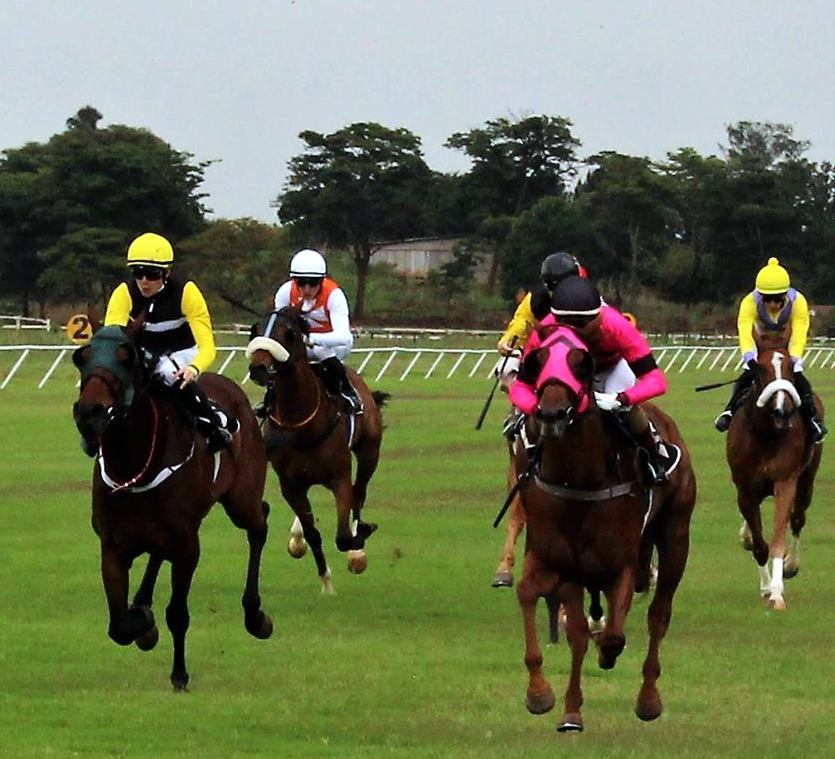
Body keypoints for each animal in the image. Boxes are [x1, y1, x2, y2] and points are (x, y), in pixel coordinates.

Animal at [72, 324, 273, 690]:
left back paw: (255, 614)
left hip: (241, 500)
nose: (89, 413)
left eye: (127, 357)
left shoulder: (187, 545)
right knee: (156, 553)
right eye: (81, 356)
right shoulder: (112, 546)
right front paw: (142, 620)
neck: (135, 463)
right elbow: (119, 626)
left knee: (259, 523)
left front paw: (179, 672)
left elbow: (177, 613)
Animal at [246, 306, 389, 592]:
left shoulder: (339, 477)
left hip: (369, 453)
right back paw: (297, 536)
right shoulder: (290, 484)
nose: (258, 368)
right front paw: (325, 579)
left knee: (360, 492)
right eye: (256, 330)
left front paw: (359, 544)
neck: (301, 422)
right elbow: (313, 533)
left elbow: (344, 535)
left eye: (288, 333)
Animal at [511, 326, 696, 732]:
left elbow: (614, 635)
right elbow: (563, 621)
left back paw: (648, 699)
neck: (580, 480)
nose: (550, 414)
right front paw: (549, 700)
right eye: (537, 360)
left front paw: (607, 656)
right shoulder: (562, 563)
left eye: (582, 363)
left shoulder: (621, 564)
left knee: (658, 615)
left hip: (675, 536)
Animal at [726, 345, 824, 610]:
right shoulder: (745, 489)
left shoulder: (785, 482)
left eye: (790, 367)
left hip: (807, 480)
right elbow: (760, 544)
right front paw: (767, 586)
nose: (782, 410)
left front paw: (777, 592)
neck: (767, 435)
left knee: (798, 519)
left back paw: (791, 565)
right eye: (760, 370)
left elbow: (779, 536)